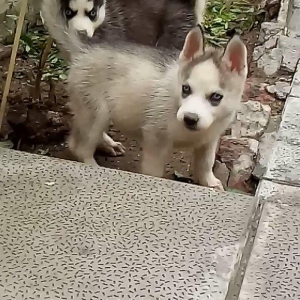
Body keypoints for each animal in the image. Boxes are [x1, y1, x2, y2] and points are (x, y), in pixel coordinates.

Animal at [42, 0, 248, 190]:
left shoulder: (210, 139)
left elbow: (205, 163)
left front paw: (209, 183)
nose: (190, 118)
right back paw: (93, 165)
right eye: (186, 89)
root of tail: (85, 49)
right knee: (79, 146)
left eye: (216, 97)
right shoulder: (155, 140)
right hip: (96, 113)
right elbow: (153, 171)